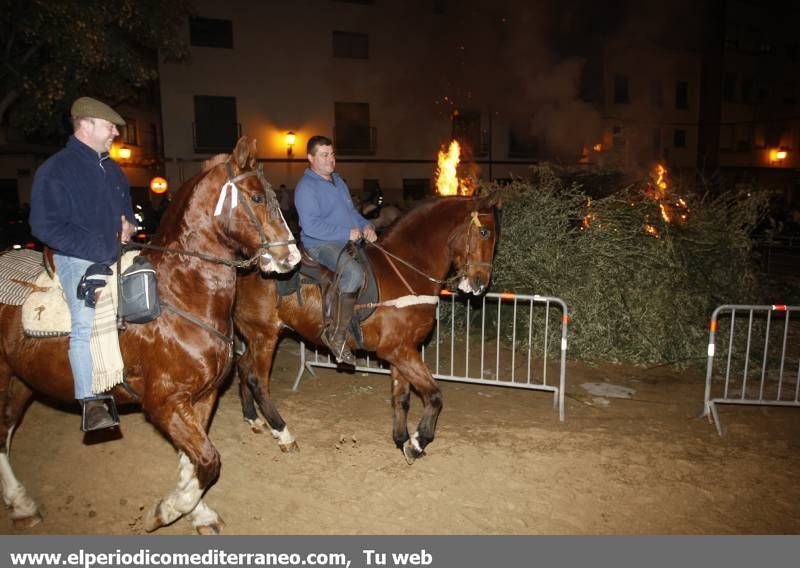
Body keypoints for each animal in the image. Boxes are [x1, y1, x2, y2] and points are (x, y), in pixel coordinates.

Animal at [0, 136, 298, 532]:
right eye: (257, 197)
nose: (291, 257)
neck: (179, 294)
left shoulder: (202, 398)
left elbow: (193, 461)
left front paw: (195, 511)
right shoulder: (164, 402)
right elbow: (208, 460)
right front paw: (167, 510)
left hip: (22, 380)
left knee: (4, 430)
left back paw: (21, 504)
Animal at [231, 194, 504, 462]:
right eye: (485, 233)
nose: (480, 284)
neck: (405, 269)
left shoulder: (402, 351)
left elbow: (401, 398)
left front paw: (402, 440)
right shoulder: (398, 350)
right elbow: (435, 395)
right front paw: (418, 442)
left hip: (256, 336)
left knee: (243, 366)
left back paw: (252, 418)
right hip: (265, 336)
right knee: (258, 381)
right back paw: (284, 434)